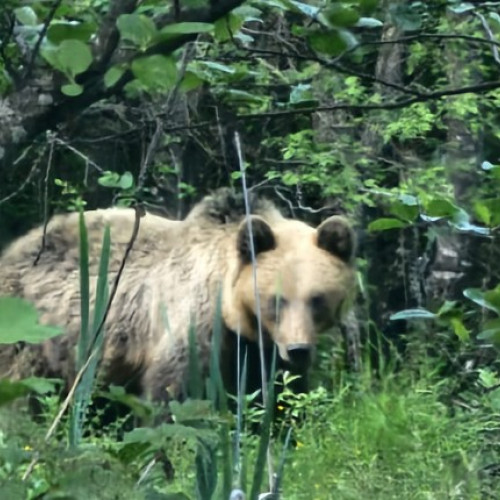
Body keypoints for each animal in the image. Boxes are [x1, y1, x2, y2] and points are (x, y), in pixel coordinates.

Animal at [0, 189, 356, 404]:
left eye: (317, 299)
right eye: (276, 300)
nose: (298, 350)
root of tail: (12, 250)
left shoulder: (259, 350)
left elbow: (277, 392)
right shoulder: (194, 325)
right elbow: (175, 393)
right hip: (28, 333)